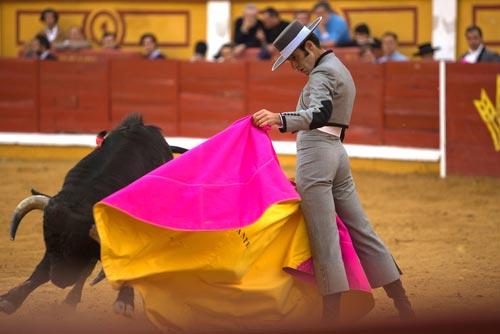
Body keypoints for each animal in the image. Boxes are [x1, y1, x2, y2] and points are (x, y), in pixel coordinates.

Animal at [0, 114, 188, 316]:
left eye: (79, 247)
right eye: (47, 241)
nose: (59, 281)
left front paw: (124, 302)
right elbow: (43, 267)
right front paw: (10, 299)